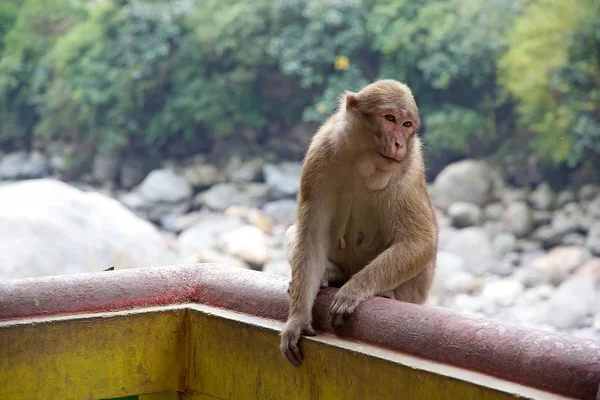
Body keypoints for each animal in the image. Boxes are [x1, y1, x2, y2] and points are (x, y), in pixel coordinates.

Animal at [278, 78, 438, 366]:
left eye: (407, 125)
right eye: (390, 118)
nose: (399, 143)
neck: (365, 160)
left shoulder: (410, 168)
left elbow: (420, 241)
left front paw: (353, 291)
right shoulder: (320, 150)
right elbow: (311, 234)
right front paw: (296, 320)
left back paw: (385, 293)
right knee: (295, 233)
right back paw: (330, 275)